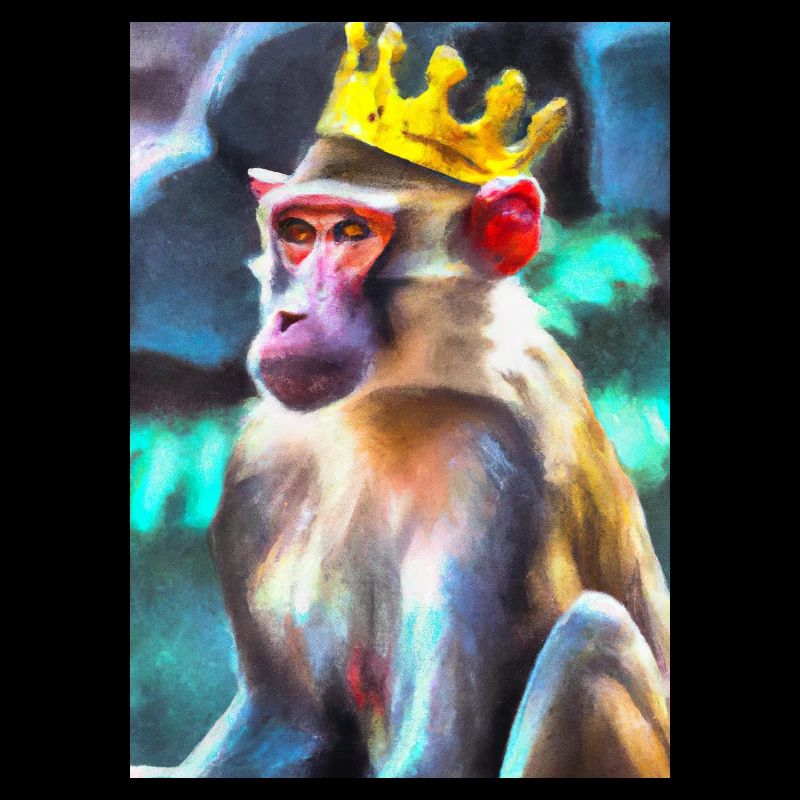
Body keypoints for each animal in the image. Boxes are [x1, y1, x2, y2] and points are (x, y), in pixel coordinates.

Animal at [130, 21, 669, 778]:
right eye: (298, 233)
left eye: (353, 233)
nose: (288, 318)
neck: (393, 393)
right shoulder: (261, 454)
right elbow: (290, 721)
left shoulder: (485, 466)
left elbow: (436, 748)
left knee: (589, 639)